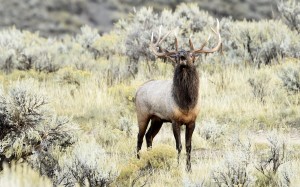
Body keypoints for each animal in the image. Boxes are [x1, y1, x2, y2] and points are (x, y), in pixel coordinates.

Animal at [135, 19, 221, 171]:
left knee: (148, 136)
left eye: (192, 55)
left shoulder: (192, 121)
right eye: (175, 56)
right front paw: (177, 166)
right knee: (139, 137)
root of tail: (137, 91)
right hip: (142, 114)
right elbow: (178, 146)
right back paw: (138, 161)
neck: (186, 104)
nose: (181, 55)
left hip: (157, 119)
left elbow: (188, 146)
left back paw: (150, 159)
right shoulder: (175, 120)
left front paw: (189, 169)